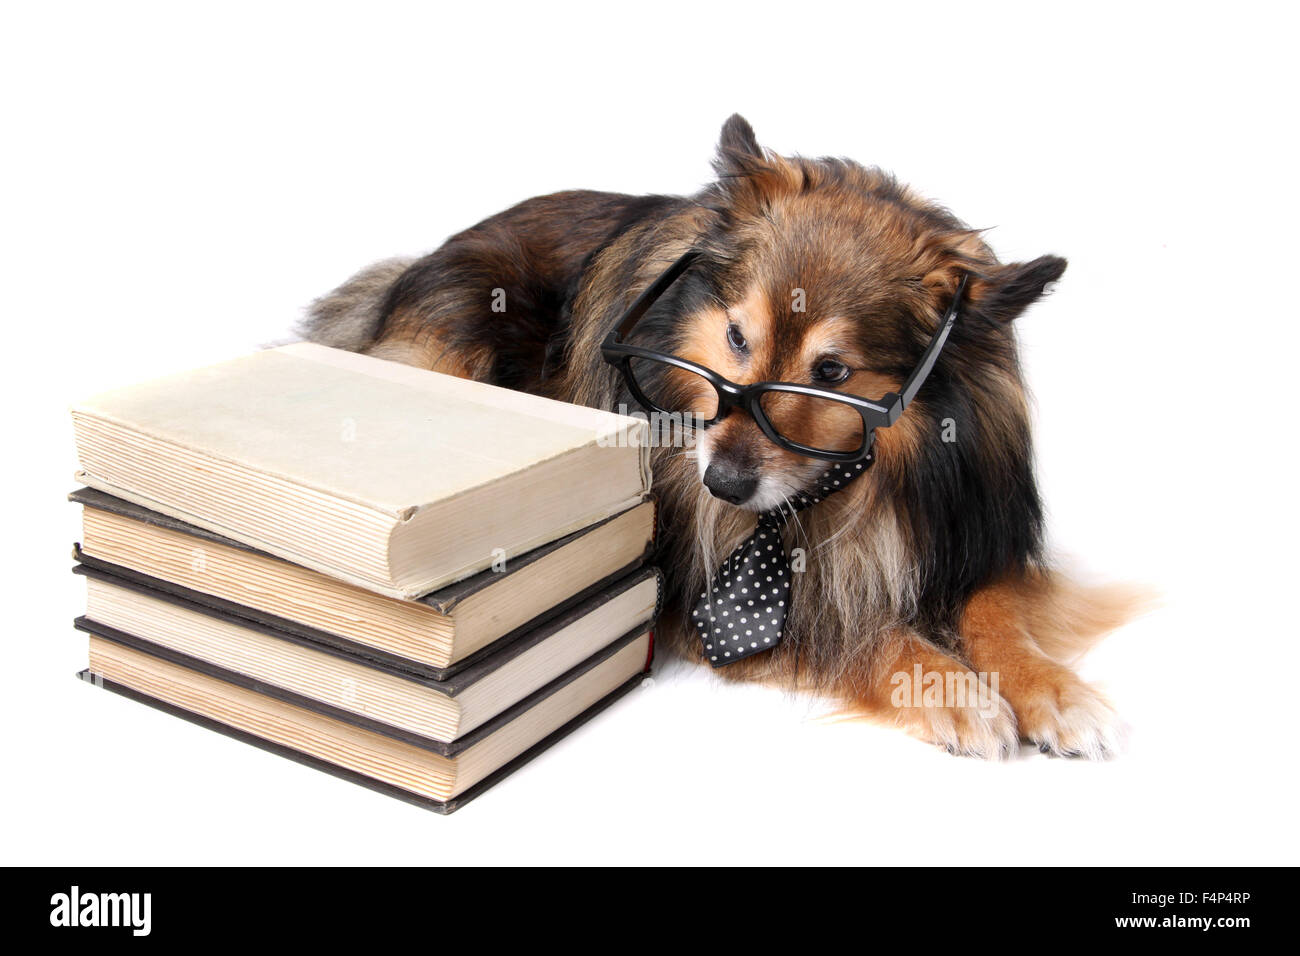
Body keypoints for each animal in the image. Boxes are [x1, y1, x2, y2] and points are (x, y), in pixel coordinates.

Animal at [301, 113, 1138, 754]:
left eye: (832, 371)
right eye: (737, 337)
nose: (724, 484)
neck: (844, 488)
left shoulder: (974, 531)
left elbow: (998, 610)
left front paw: (1053, 690)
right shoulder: (697, 586)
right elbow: (850, 630)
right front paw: (953, 690)